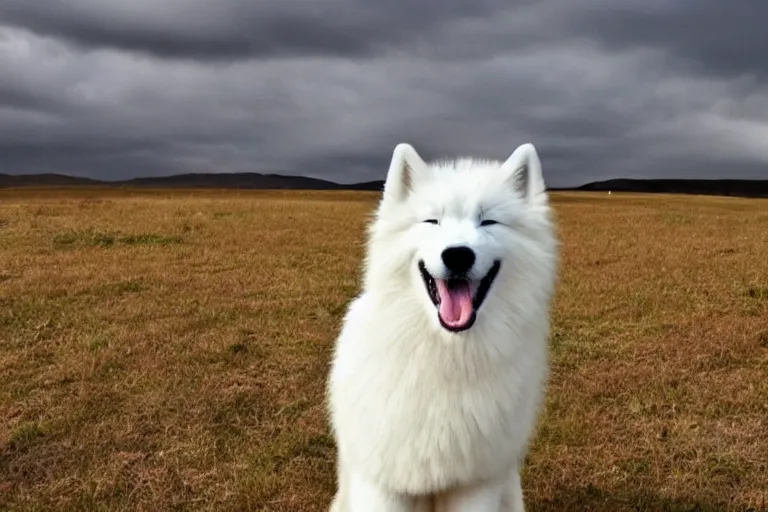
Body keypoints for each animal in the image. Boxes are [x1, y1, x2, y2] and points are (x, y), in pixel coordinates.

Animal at [324, 142, 560, 510]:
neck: (446, 352)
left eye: (488, 220)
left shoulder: (476, 485)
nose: (458, 255)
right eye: (432, 221)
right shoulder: (386, 485)